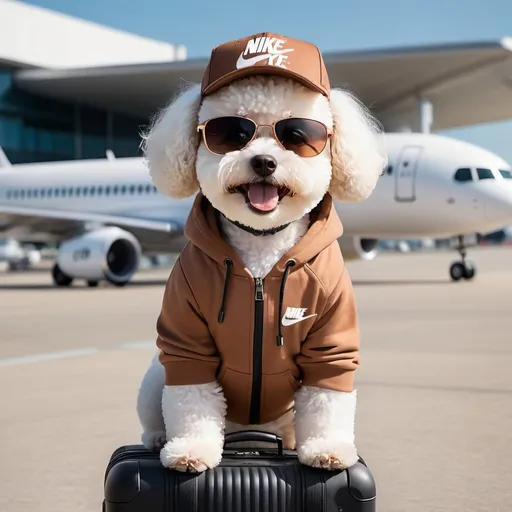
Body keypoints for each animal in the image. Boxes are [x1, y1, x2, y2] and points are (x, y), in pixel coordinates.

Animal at [134, 31, 386, 472]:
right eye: (234, 132)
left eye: (297, 135)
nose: (265, 161)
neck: (261, 258)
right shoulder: (186, 344)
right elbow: (192, 402)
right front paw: (190, 450)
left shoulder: (331, 345)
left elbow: (327, 401)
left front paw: (327, 448)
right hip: (155, 378)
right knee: (158, 409)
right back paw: (160, 437)